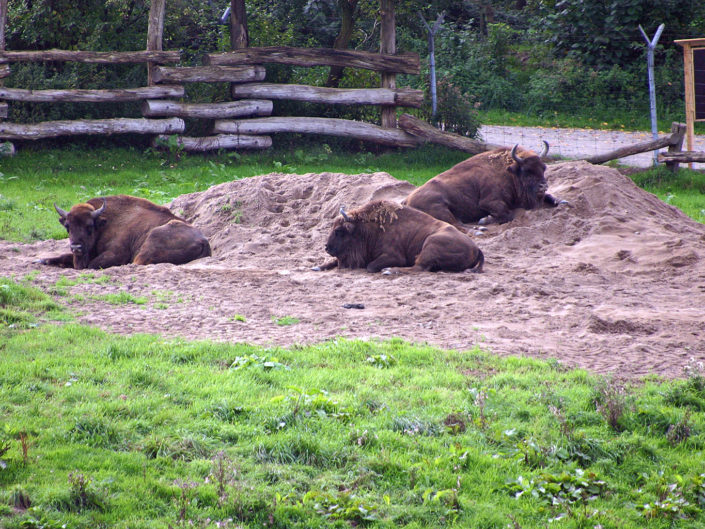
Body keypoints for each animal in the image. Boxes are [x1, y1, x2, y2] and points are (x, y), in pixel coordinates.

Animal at [39, 195, 211, 269]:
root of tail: (203, 240)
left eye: (89, 226)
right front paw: (43, 260)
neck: (105, 222)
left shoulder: (115, 253)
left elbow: (91, 265)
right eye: (67, 226)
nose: (76, 247)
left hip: (152, 237)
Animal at [315, 200, 484, 274]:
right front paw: (318, 266)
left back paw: (389, 270)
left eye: (339, 231)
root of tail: (476, 248)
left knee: (418, 268)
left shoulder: (394, 256)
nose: (327, 248)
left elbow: (370, 266)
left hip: (430, 244)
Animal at [403, 143, 565, 227]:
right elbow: (508, 214)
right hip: (440, 208)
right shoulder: (489, 202)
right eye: (527, 171)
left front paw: (562, 201)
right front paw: (484, 219)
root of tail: (406, 200)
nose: (543, 186)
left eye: (543, 168)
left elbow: (551, 197)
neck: (510, 173)